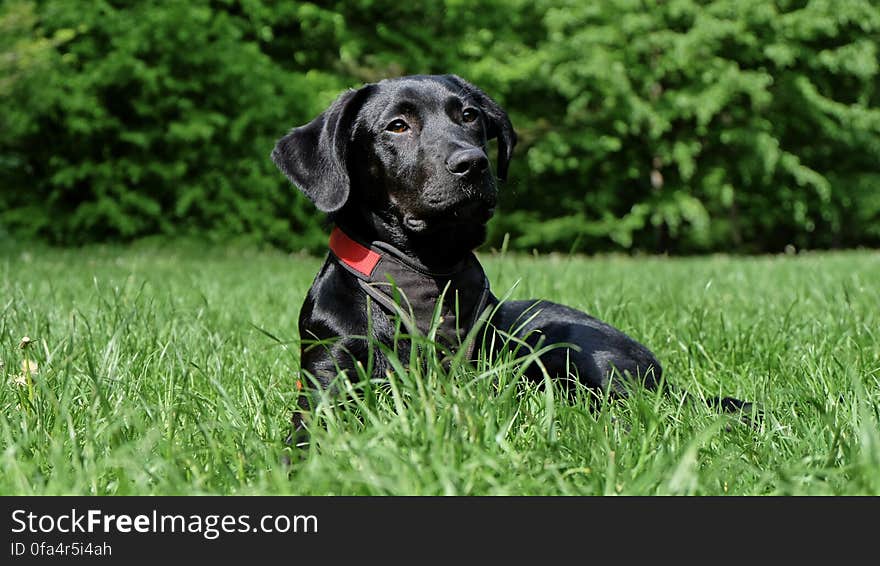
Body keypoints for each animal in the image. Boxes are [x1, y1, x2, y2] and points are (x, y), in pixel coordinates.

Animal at [276, 74, 736, 440]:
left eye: (469, 116)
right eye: (398, 126)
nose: (472, 163)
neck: (424, 274)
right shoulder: (327, 379)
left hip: (570, 347)